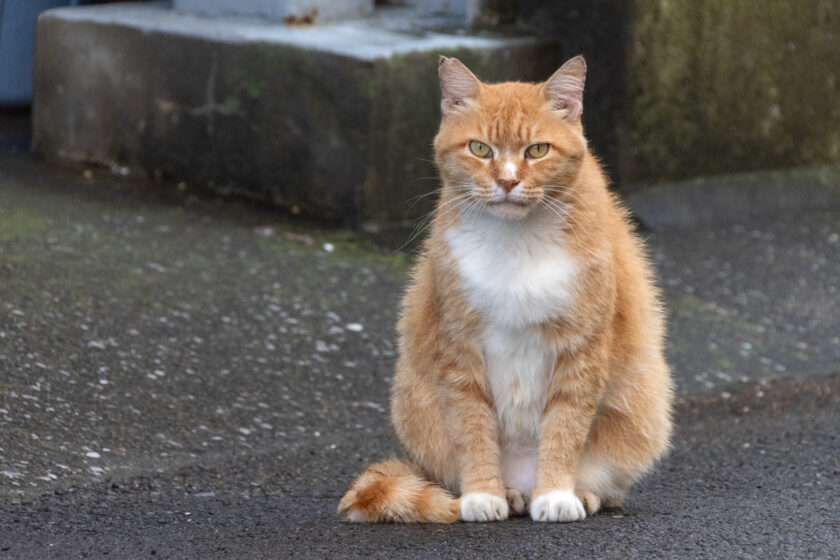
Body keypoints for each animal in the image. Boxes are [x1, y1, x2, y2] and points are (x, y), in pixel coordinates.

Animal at [338, 54, 672, 524]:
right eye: (480, 149)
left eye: (537, 150)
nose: (509, 182)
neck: (517, 241)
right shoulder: (459, 346)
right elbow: (472, 426)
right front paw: (484, 494)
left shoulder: (582, 346)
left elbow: (565, 426)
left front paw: (556, 494)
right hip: (414, 404)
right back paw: (511, 494)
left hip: (644, 406)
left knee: (609, 485)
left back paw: (574, 493)